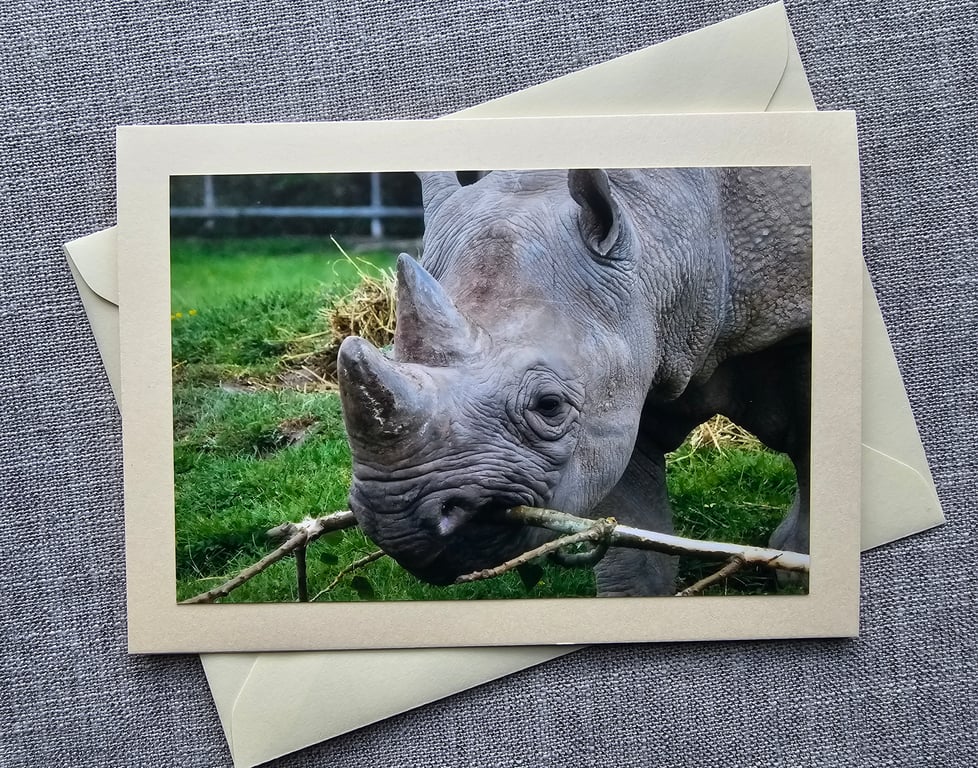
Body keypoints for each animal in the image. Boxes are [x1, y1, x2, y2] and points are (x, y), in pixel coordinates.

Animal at [336, 167, 811, 596]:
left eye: (549, 406)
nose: (397, 518)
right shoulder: (625, 365)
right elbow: (632, 531)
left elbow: (809, 447)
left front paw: (795, 570)